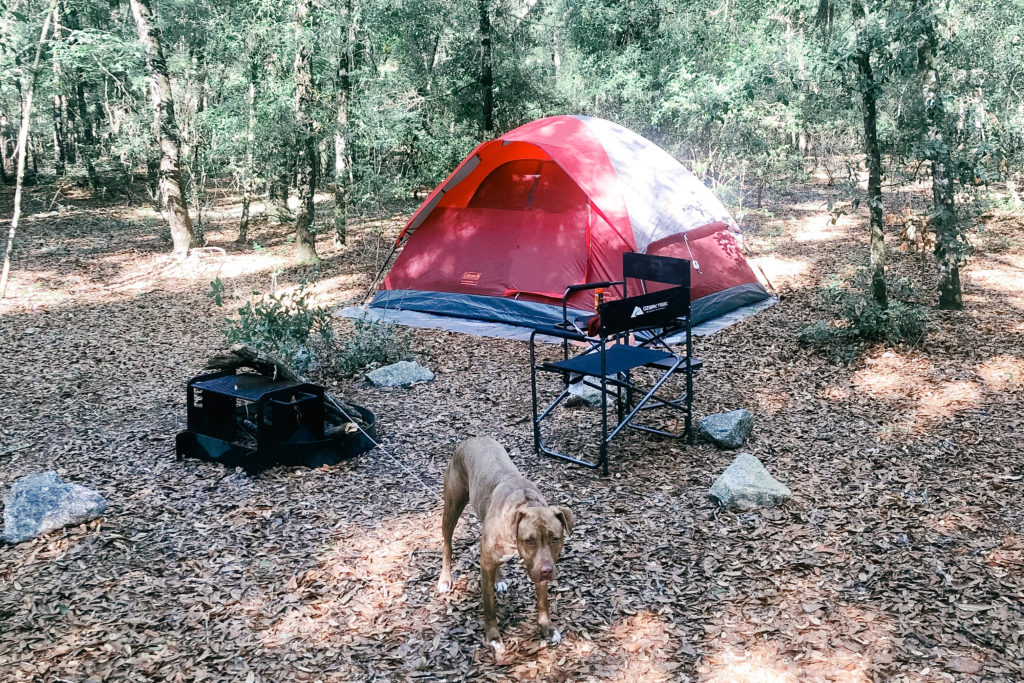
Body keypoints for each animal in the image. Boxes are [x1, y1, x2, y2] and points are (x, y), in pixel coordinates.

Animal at [436, 438, 573, 647]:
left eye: (555, 539)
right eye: (529, 540)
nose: (547, 571)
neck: (525, 504)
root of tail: (472, 439)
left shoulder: (539, 565)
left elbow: (543, 602)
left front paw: (547, 628)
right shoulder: (487, 565)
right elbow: (489, 605)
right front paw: (493, 635)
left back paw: (499, 579)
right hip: (452, 507)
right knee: (447, 543)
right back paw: (445, 578)